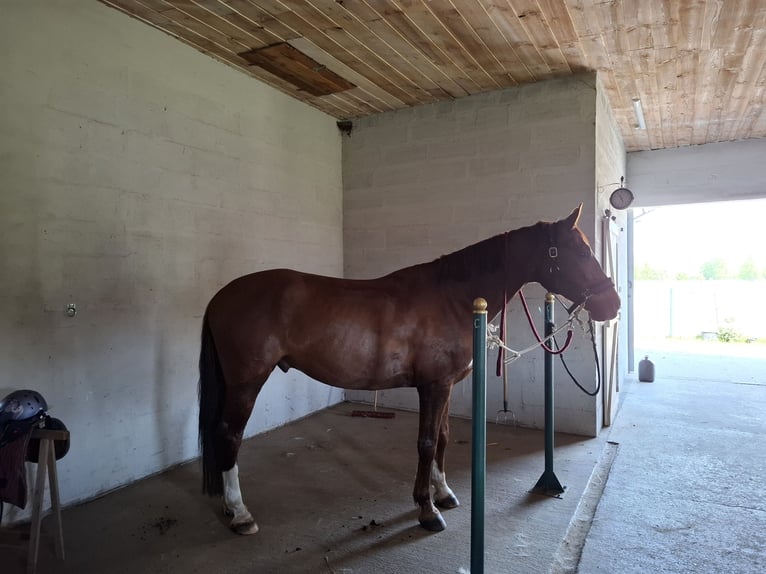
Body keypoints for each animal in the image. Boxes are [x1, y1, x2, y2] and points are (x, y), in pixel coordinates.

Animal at [198, 204, 620, 535]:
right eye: (582, 252)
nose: (613, 305)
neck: (452, 297)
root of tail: (221, 296)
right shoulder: (432, 386)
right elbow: (427, 442)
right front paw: (427, 510)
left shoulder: (446, 385)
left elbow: (444, 438)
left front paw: (444, 494)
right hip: (246, 383)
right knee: (229, 434)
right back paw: (240, 514)